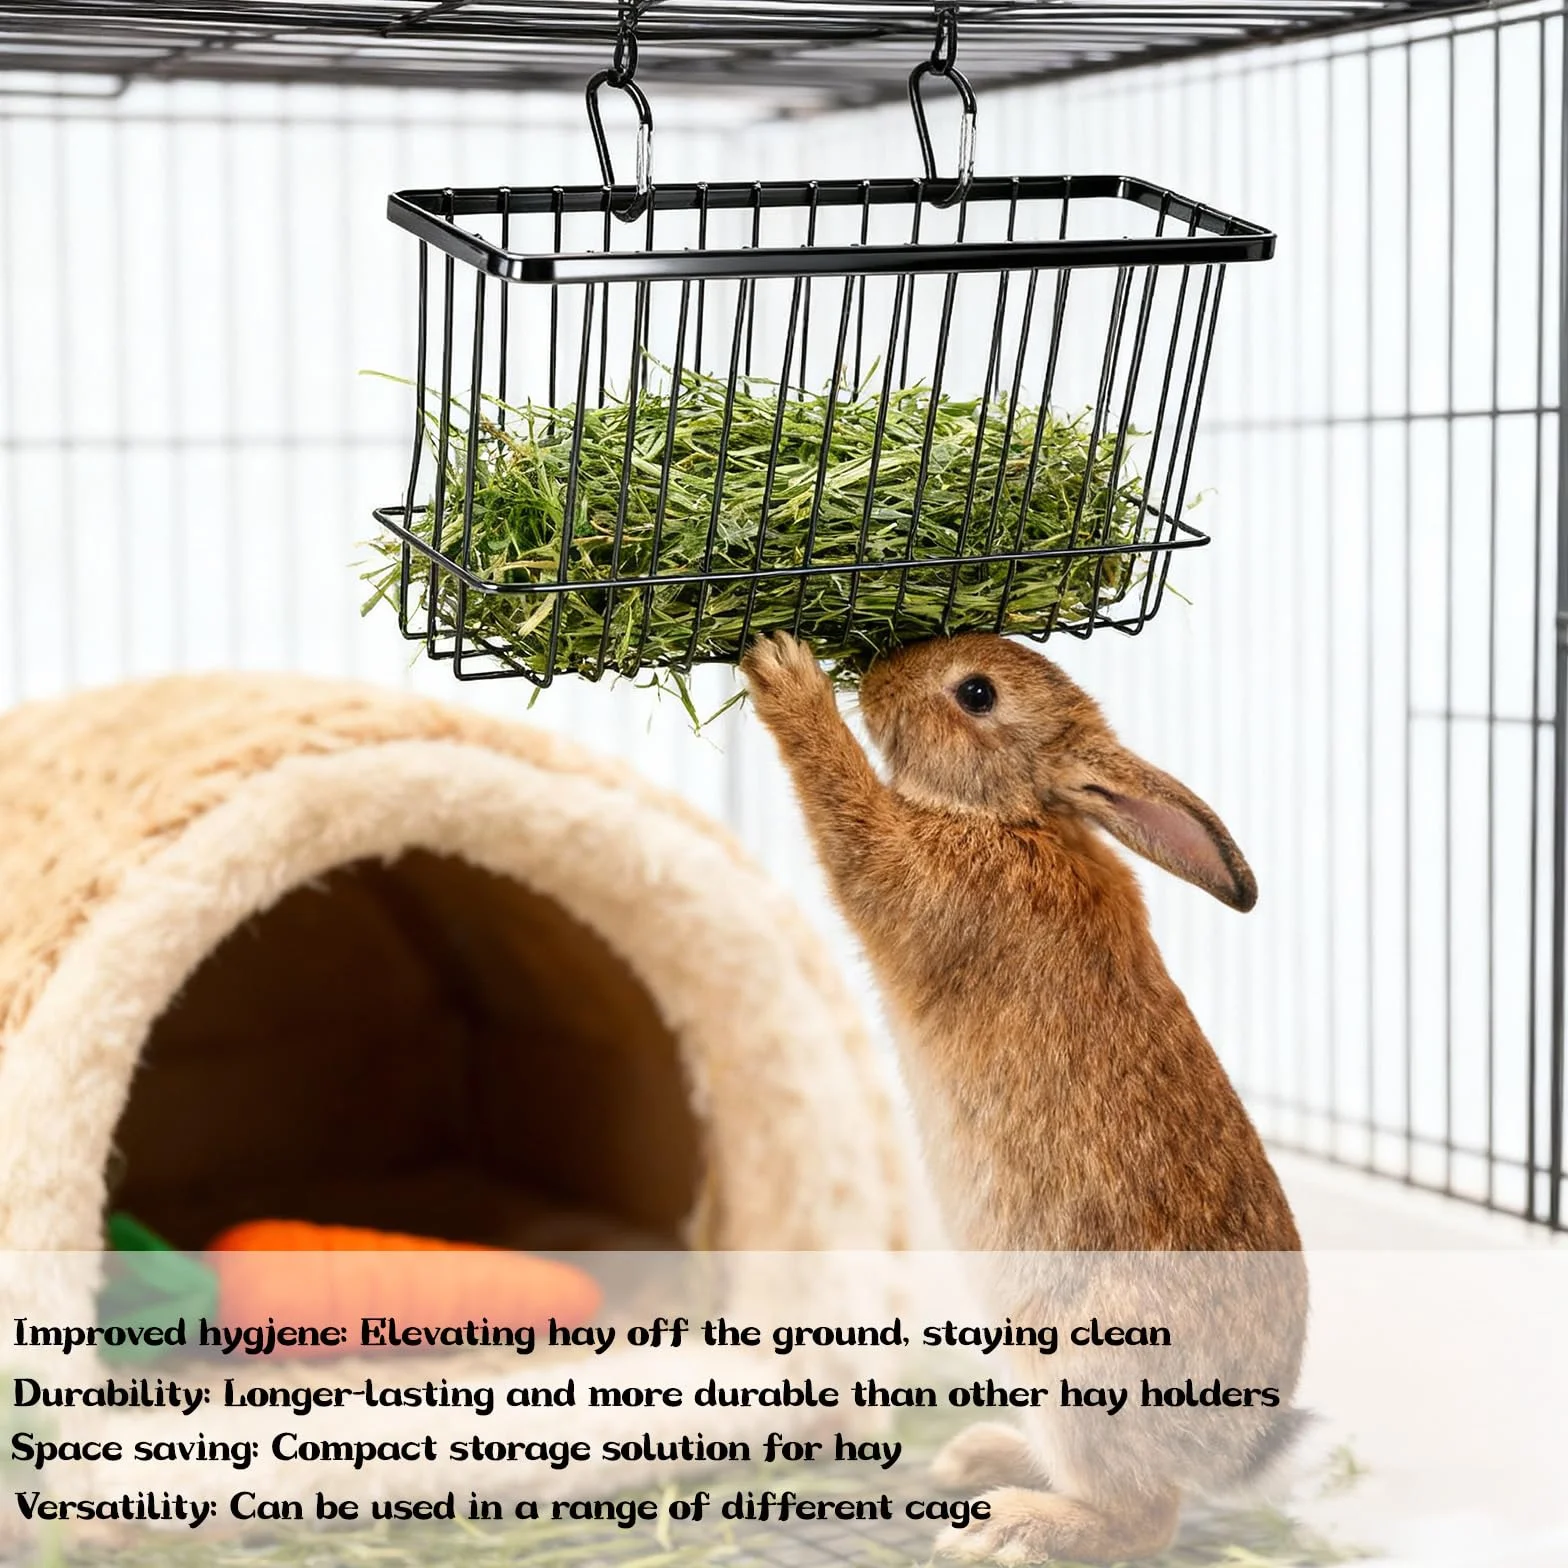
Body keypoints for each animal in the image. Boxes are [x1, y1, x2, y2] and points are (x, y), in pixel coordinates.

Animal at [740, 630, 1306, 1565]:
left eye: (977, 694)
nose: (880, 675)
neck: (1017, 816)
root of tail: (1240, 1442)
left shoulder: (914, 874)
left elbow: (849, 811)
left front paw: (786, 676)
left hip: (1080, 1375)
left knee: (1143, 1521)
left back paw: (1005, 1525)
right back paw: (979, 1457)